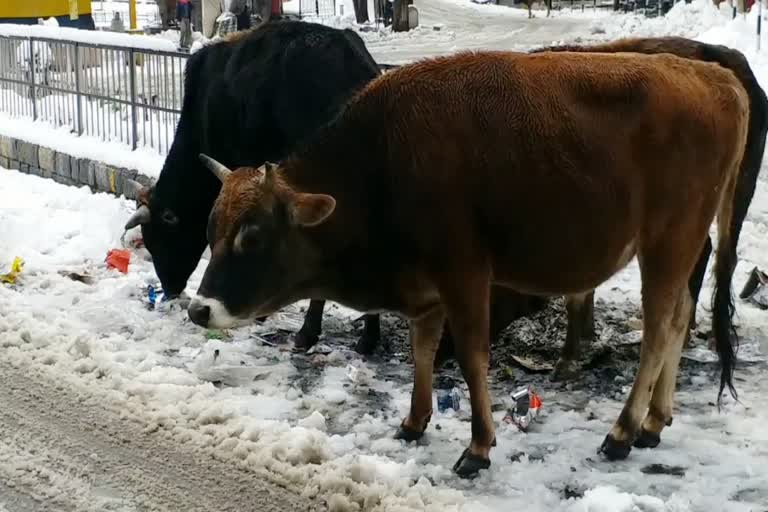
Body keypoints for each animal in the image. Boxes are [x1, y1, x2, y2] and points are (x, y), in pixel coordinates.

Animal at [189, 50, 748, 478]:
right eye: (212, 229)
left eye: (252, 236)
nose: (199, 310)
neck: (383, 162)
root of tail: (715, 78)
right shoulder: (426, 292)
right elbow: (421, 350)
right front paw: (414, 422)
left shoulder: (465, 277)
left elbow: (471, 357)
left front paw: (477, 447)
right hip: (683, 251)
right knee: (679, 321)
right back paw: (655, 422)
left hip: (666, 246)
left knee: (658, 330)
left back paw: (623, 431)